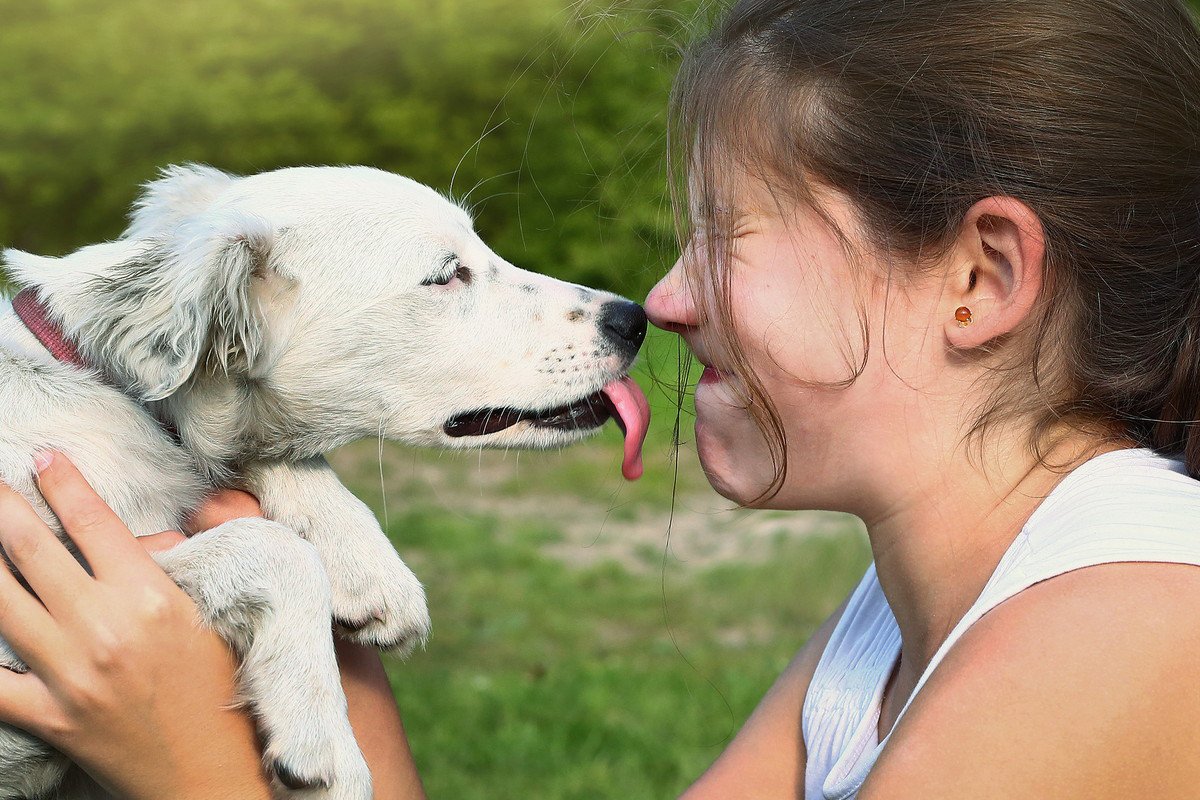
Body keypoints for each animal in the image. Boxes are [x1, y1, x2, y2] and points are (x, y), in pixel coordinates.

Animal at [0, 164, 648, 800]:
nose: (634, 319)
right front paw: (325, 745)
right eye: (445, 275)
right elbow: (276, 547)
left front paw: (370, 570)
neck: (106, 383)